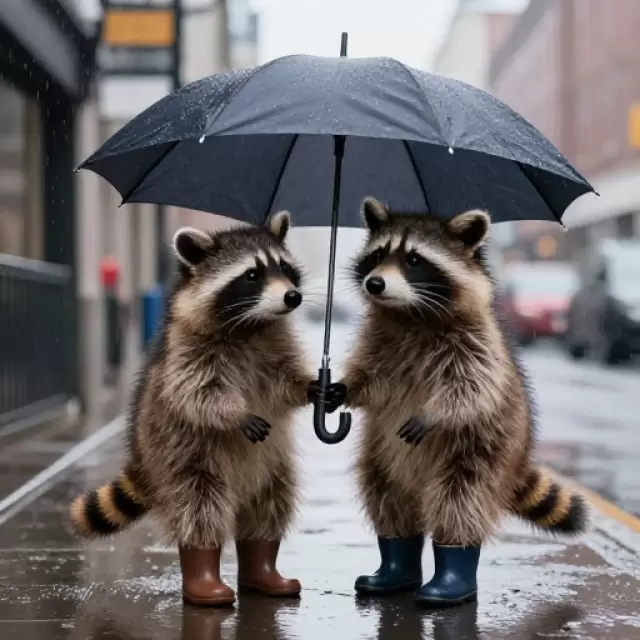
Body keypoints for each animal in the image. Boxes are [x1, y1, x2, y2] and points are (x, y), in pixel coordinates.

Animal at [69, 211, 316, 606]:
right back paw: (204, 579)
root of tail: (144, 459)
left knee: (271, 500)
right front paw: (236, 414)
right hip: (181, 454)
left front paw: (312, 387)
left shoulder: (276, 345)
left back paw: (261, 570)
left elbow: (284, 382)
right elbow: (197, 393)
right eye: (252, 275)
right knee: (200, 505)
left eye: (284, 268)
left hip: (271, 464)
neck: (250, 326)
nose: (292, 296)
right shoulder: (188, 350)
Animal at [335, 197, 589, 607]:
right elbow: (370, 379)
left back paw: (452, 576)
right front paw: (342, 388)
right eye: (378, 255)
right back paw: (396, 568)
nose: (375, 283)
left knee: (460, 499)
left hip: (482, 448)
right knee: (385, 493)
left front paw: (433, 414)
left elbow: (472, 388)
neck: (410, 313)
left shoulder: (477, 344)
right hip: (381, 451)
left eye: (414, 260)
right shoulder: (377, 341)